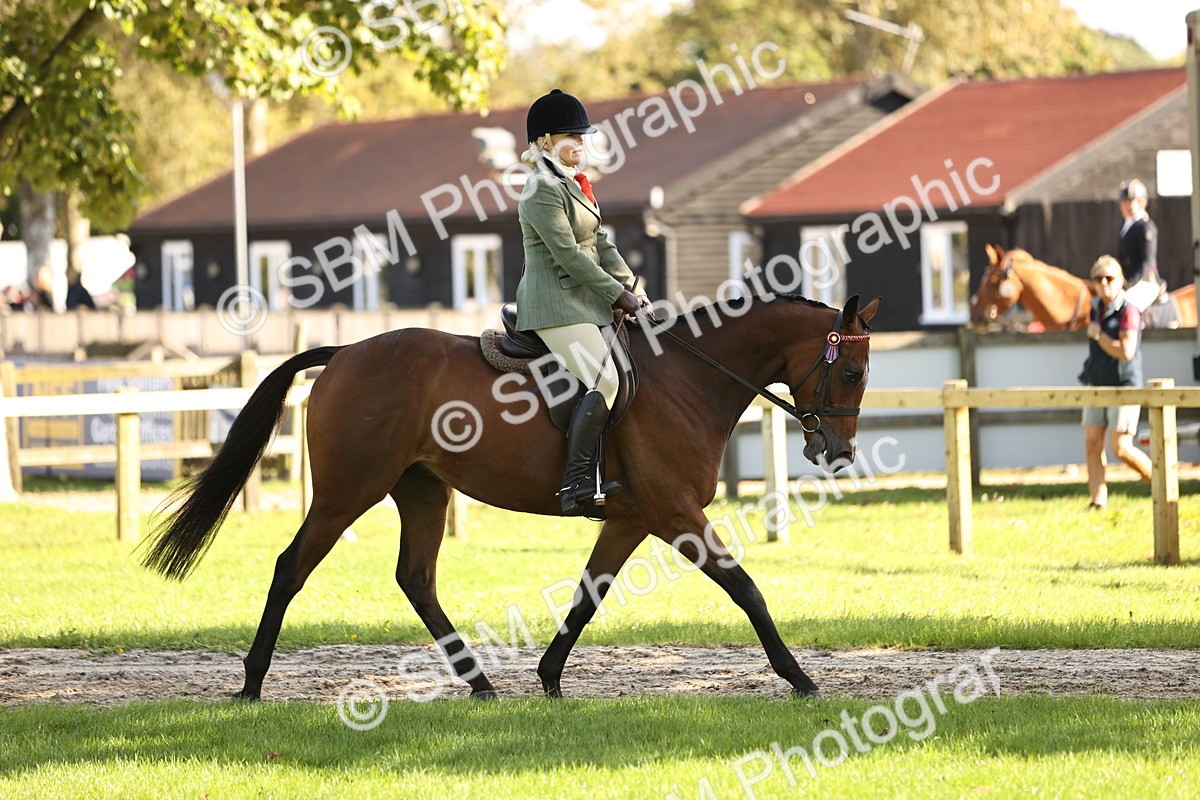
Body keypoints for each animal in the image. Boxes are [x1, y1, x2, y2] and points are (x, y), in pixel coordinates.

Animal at [140, 292, 879, 700]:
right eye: (849, 371)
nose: (838, 454)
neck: (689, 377)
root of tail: (346, 351)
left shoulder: (633, 518)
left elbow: (588, 596)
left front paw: (549, 677)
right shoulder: (675, 514)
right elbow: (746, 588)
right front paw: (799, 677)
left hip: (421, 490)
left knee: (416, 579)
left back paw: (481, 683)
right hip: (349, 491)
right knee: (291, 568)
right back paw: (252, 683)